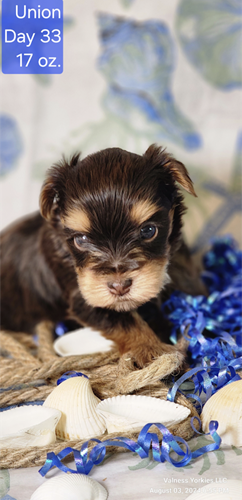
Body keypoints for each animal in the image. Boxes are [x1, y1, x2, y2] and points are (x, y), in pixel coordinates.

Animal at [0, 145, 204, 368]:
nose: (119, 286)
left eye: (148, 231)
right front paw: (152, 350)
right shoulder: (82, 296)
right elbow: (124, 321)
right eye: (81, 240)